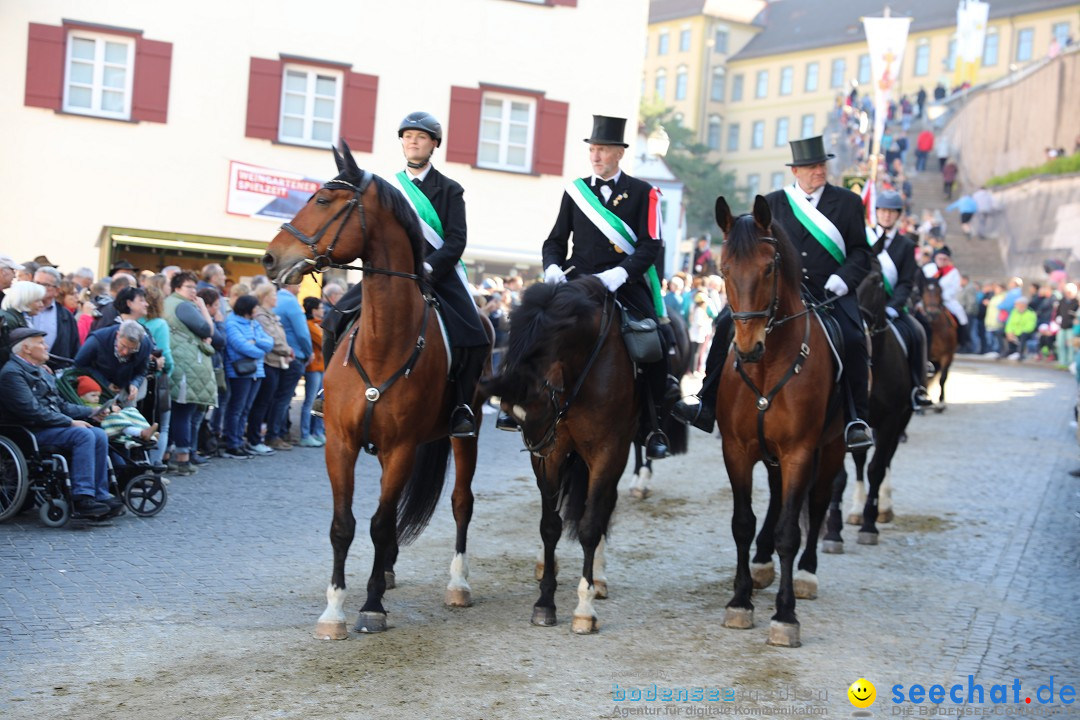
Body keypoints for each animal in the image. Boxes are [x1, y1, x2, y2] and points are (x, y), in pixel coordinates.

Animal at [261, 143, 490, 639]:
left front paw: (371, 606)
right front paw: (333, 611)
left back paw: (458, 584)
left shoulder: (401, 447)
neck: (385, 339)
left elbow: (382, 524)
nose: (270, 259)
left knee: (461, 503)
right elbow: (343, 525)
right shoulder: (341, 444)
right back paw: (385, 571)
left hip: (467, 432)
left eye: (322, 200)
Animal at [486, 278, 635, 634]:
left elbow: (590, 526)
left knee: (604, 508)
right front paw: (544, 602)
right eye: (510, 409)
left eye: (541, 402)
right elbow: (549, 526)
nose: (540, 446)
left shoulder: (608, 451)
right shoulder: (551, 461)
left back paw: (599, 578)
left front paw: (585, 608)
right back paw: (546, 564)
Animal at [712, 195, 846, 647]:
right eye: (723, 268)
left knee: (818, 503)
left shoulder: (799, 453)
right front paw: (740, 601)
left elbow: (792, 529)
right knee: (773, 499)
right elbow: (742, 523)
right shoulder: (737, 450)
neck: (769, 367)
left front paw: (785, 616)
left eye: (769, 268)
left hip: (833, 446)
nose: (747, 347)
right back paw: (762, 564)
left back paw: (805, 575)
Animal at [920, 278, 954, 410]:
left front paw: (941, 402)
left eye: (939, 290)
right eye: (924, 291)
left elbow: (942, 378)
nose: (932, 313)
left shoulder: (947, 356)